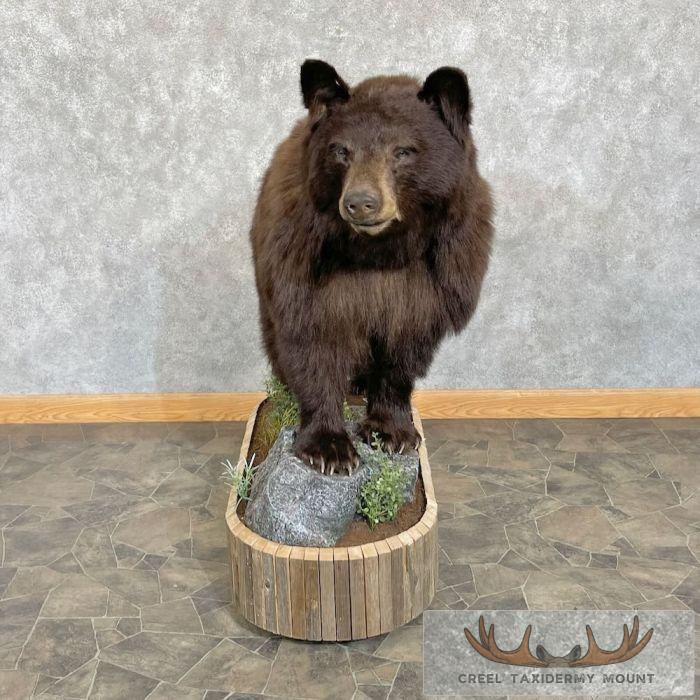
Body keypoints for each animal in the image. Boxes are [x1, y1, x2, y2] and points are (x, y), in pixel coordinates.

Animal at [250, 59, 493, 474]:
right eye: (341, 151)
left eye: (403, 151)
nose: (361, 202)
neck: (379, 251)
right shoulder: (302, 265)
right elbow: (311, 343)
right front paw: (328, 448)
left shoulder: (434, 277)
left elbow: (403, 352)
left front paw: (392, 431)